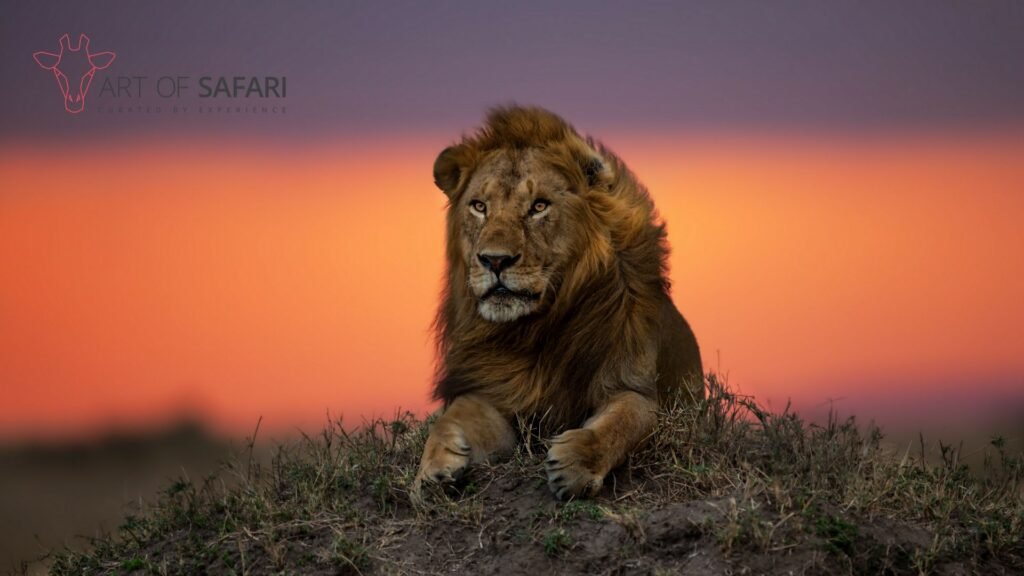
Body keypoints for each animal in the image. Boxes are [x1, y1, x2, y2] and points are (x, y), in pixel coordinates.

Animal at [415, 106, 703, 500]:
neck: (536, 329)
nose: (494, 260)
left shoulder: (634, 387)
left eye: (539, 206)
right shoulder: (494, 392)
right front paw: (432, 469)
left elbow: (623, 422)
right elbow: (449, 418)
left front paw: (575, 464)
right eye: (479, 207)